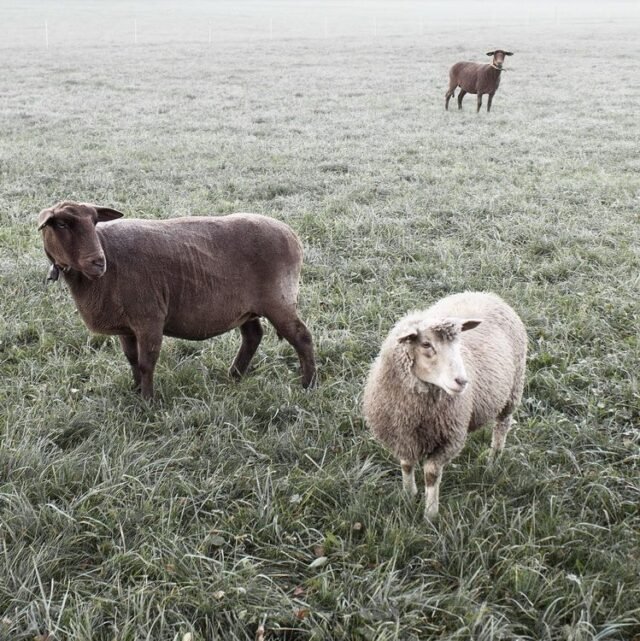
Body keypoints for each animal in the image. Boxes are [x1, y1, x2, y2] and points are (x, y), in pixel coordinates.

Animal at [38, 201, 316, 399]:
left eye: (94, 221)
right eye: (61, 225)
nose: (98, 262)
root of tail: (292, 234)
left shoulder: (149, 318)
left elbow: (146, 362)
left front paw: (147, 403)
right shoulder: (126, 326)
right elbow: (132, 359)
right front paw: (135, 392)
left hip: (278, 299)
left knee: (301, 337)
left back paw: (308, 384)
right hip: (244, 306)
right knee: (253, 336)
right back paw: (234, 376)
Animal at [363, 292, 526, 519]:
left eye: (457, 344)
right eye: (426, 345)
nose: (462, 381)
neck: (415, 411)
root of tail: (486, 294)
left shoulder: (448, 439)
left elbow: (431, 474)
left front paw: (430, 514)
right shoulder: (401, 434)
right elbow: (406, 464)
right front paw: (408, 494)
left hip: (512, 390)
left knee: (502, 425)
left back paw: (493, 460)